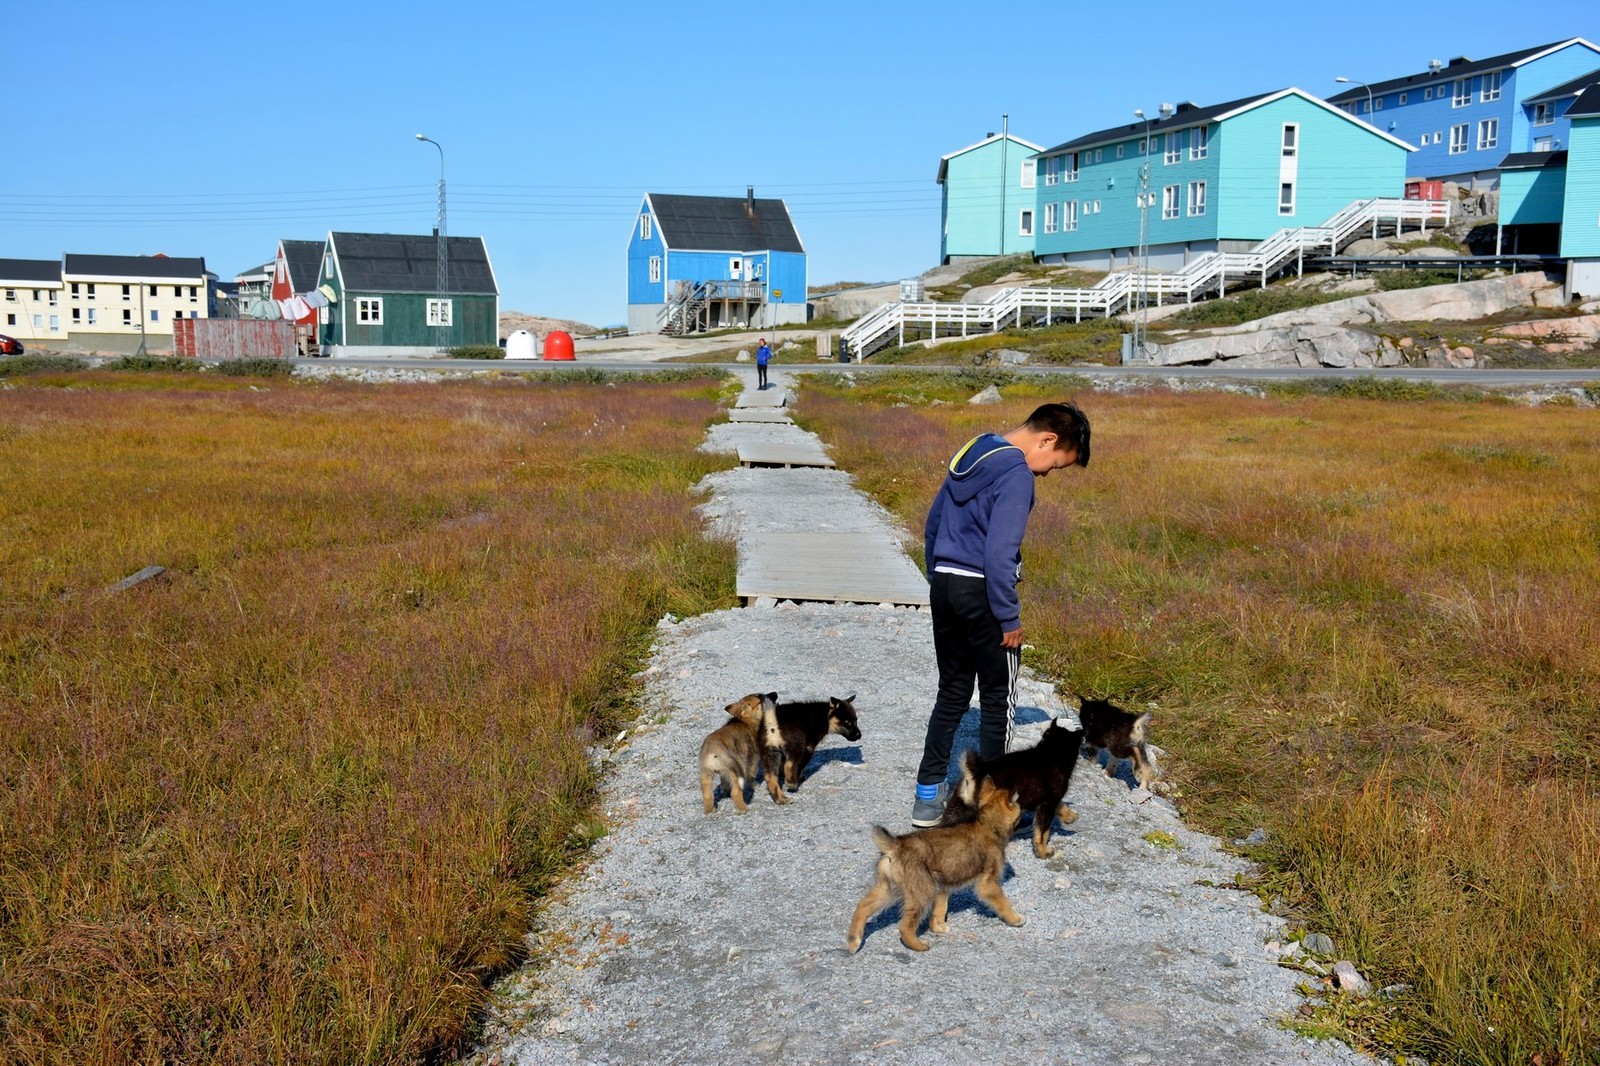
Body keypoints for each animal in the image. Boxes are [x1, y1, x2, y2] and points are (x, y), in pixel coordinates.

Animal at [851, 768, 1024, 947]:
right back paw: (918, 946)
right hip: (922, 891)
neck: (988, 824)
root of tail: (895, 844)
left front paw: (938, 927)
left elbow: (939, 910)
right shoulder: (988, 884)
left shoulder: (942, 887)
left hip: (889, 888)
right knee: (904, 925)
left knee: (863, 905)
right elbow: (1003, 902)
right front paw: (1016, 919)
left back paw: (853, 941)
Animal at [934, 713, 1088, 857]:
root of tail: (978, 770)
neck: (1052, 752)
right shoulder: (1048, 804)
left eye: (1043, 737)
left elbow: (1061, 806)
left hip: (956, 809)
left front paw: (1070, 816)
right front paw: (1043, 852)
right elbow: (1043, 832)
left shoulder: (1049, 801)